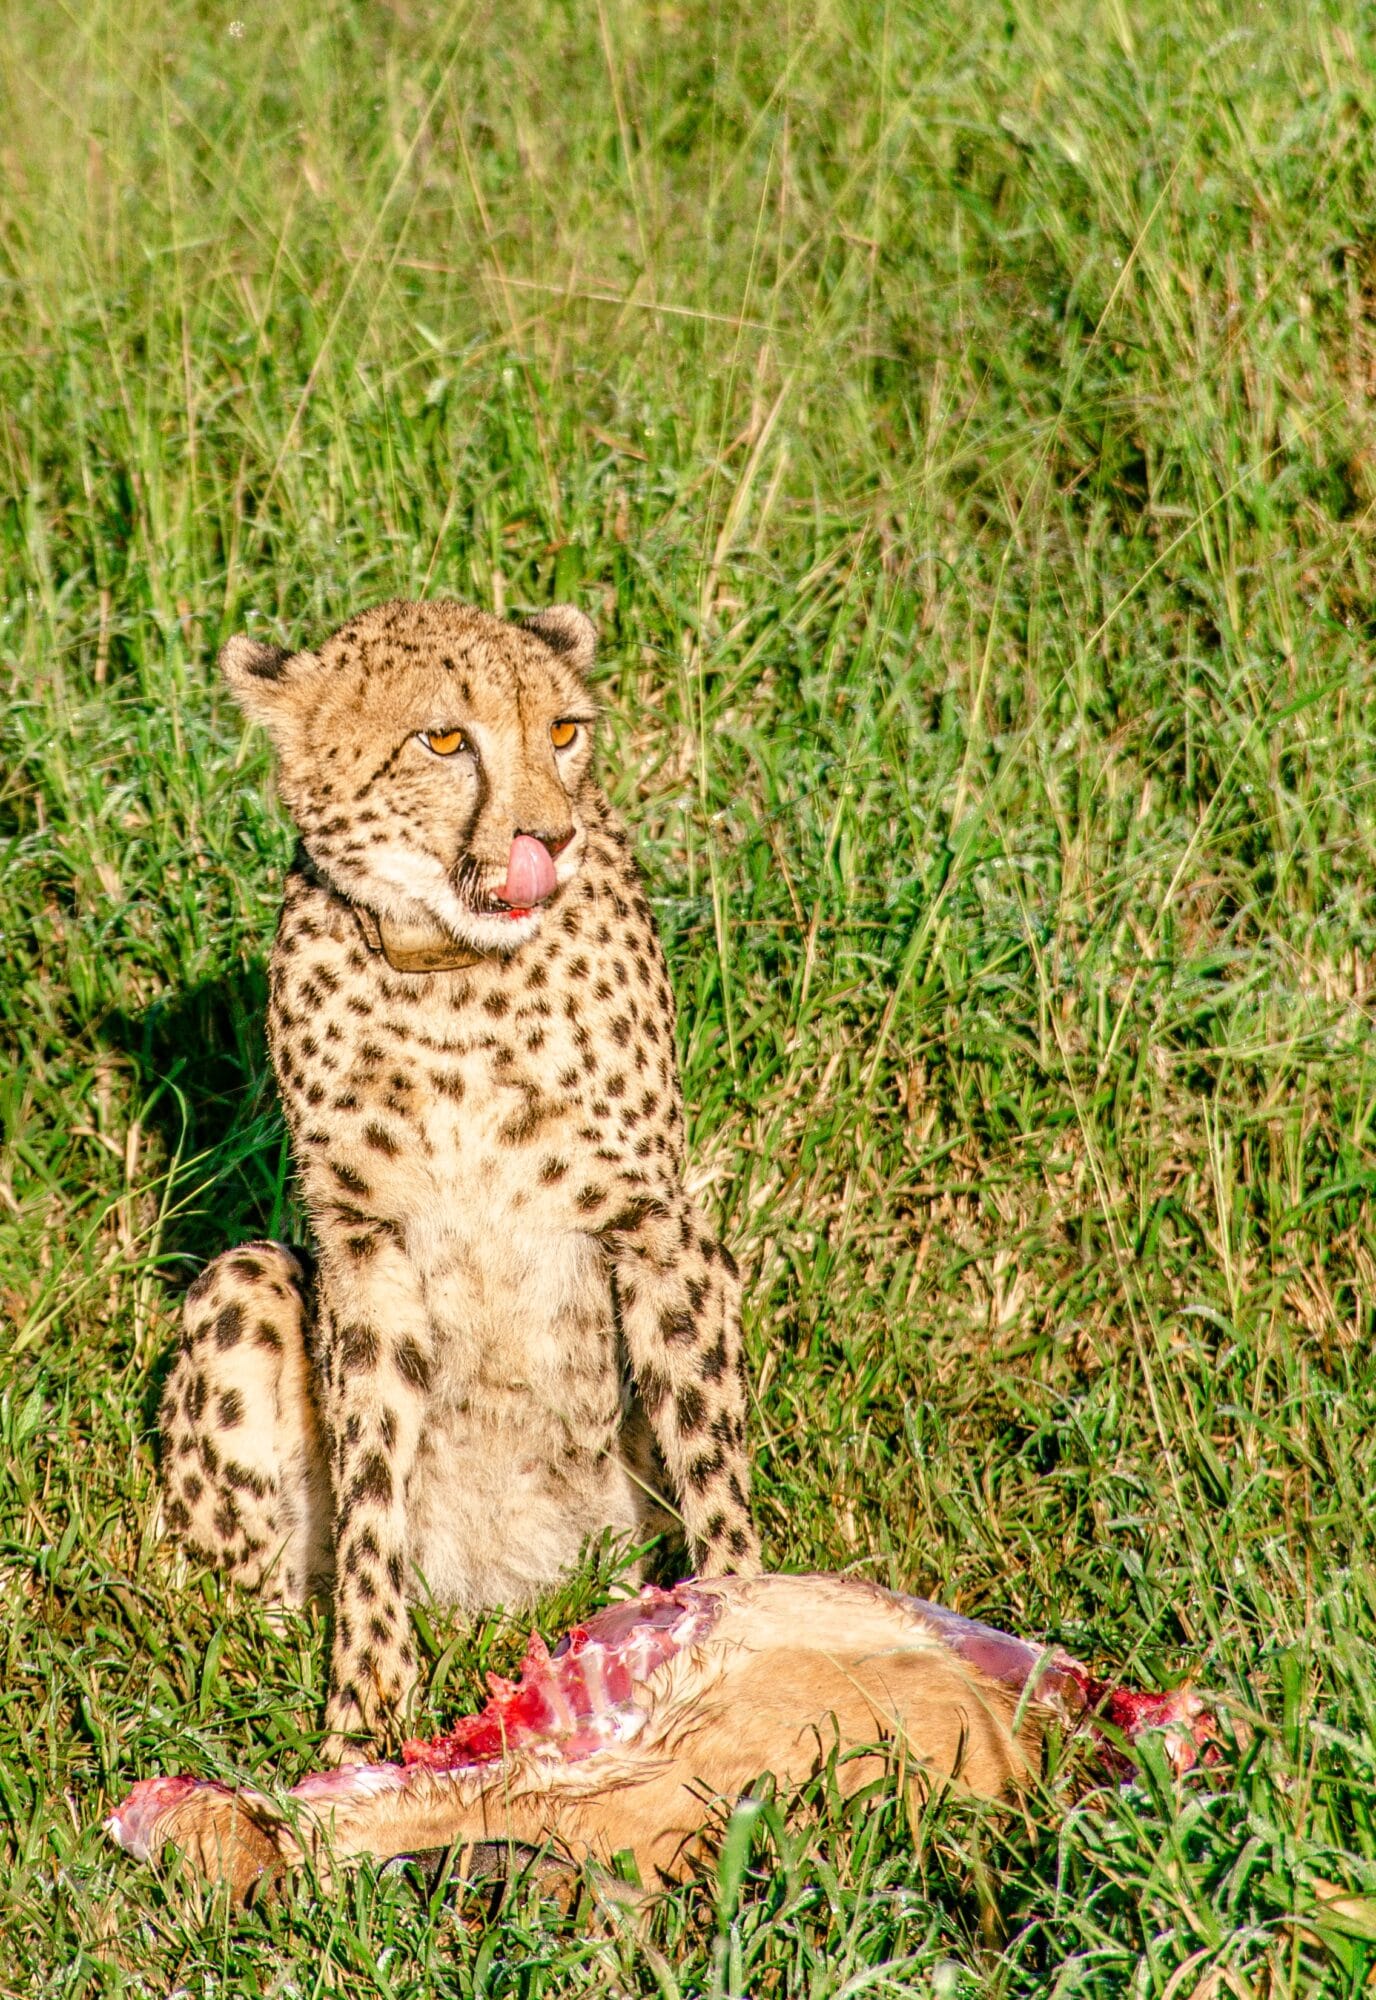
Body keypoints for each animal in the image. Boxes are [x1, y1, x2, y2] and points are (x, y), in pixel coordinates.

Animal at [164, 600, 764, 1760]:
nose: (553, 837)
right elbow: (371, 1473)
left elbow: (710, 1450)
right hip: (247, 1279)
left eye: (565, 731)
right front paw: (367, 1706)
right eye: (444, 740)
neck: (451, 977)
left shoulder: (654, 1222)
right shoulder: (363, 1241)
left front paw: (760, 1628)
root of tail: (504, 1596)